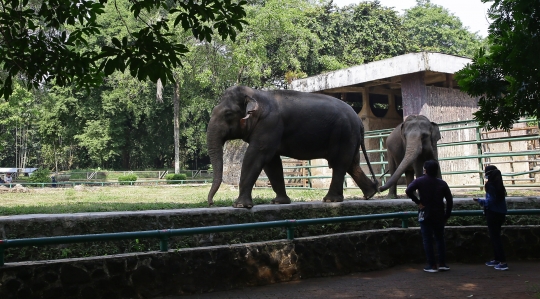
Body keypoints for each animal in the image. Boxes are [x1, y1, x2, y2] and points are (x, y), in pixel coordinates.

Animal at [207, 86, 380, 209]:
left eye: (228, 114)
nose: (211, 203)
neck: (256, 94)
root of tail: (359, 121)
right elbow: (272, 163)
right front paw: (279, 202)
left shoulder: (269, 124)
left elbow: (256, 155)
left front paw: (240, 205)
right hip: (350, 136)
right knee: (352, 164)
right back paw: (370, 194)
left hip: (345, 134)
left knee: (340, 163)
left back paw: (330, 200)